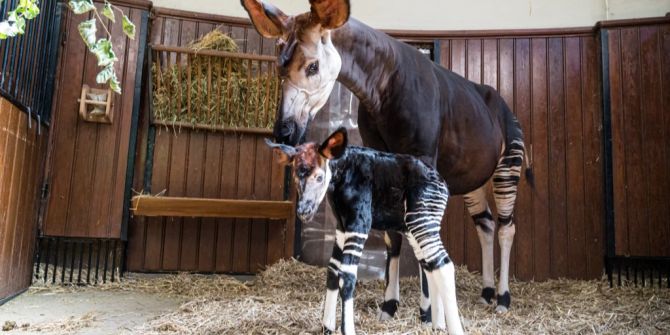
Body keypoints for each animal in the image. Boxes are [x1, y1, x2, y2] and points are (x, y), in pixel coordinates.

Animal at [266, 129, 464, 335]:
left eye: (319, 177)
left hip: (422, 220)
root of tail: (443, 183)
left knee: (443, 264)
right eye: (296, 176)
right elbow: (332, 270)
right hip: (415, 226)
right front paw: (327, 327)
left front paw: (347, 329)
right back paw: (437, 326)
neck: (341, 174)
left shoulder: (359, 224)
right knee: (431, 265)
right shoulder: (342, 227)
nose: (304, 212)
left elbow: (347, 276)